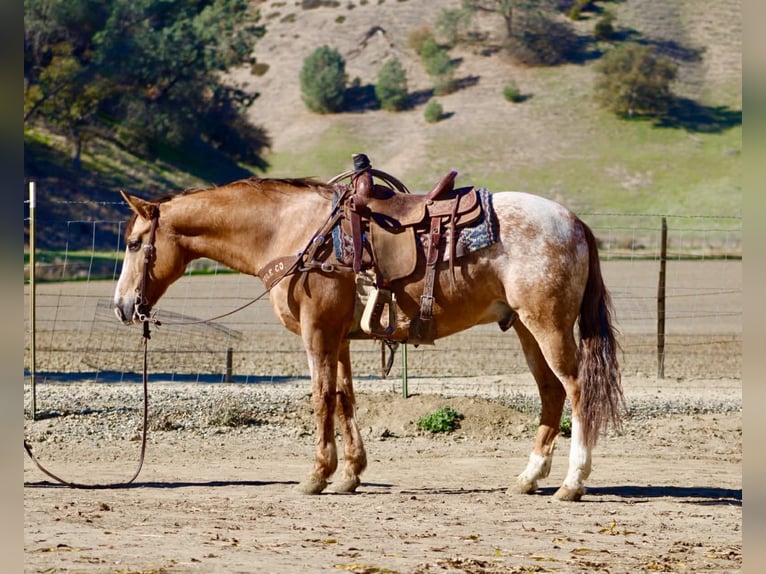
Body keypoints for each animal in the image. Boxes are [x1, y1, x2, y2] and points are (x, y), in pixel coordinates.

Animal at [113, 175, 625, 501]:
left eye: (136, 243)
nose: (122, 306)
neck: (292, 232)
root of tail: (574, 222)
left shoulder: (317, 332)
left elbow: (321, 397)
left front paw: (317, 476)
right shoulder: (338, 336)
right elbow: (344, 398)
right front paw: (350, 474)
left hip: (548, 325)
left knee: (577, 390)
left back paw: (572, 483)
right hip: (524, 328)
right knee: (550, 393)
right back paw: (528, 478)